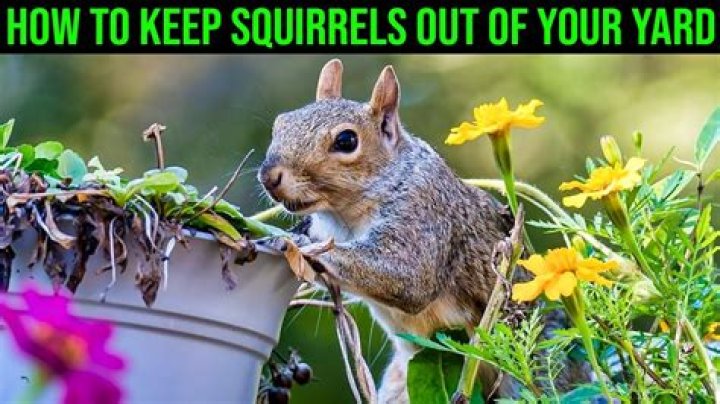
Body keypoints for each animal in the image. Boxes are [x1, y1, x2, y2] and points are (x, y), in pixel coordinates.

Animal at [258, 59, 584, 402]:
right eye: (281, 123)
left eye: (346, 141)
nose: (269, 176)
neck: (344, 216)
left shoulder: (425, 214)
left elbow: (408, 275)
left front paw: (289, 240)